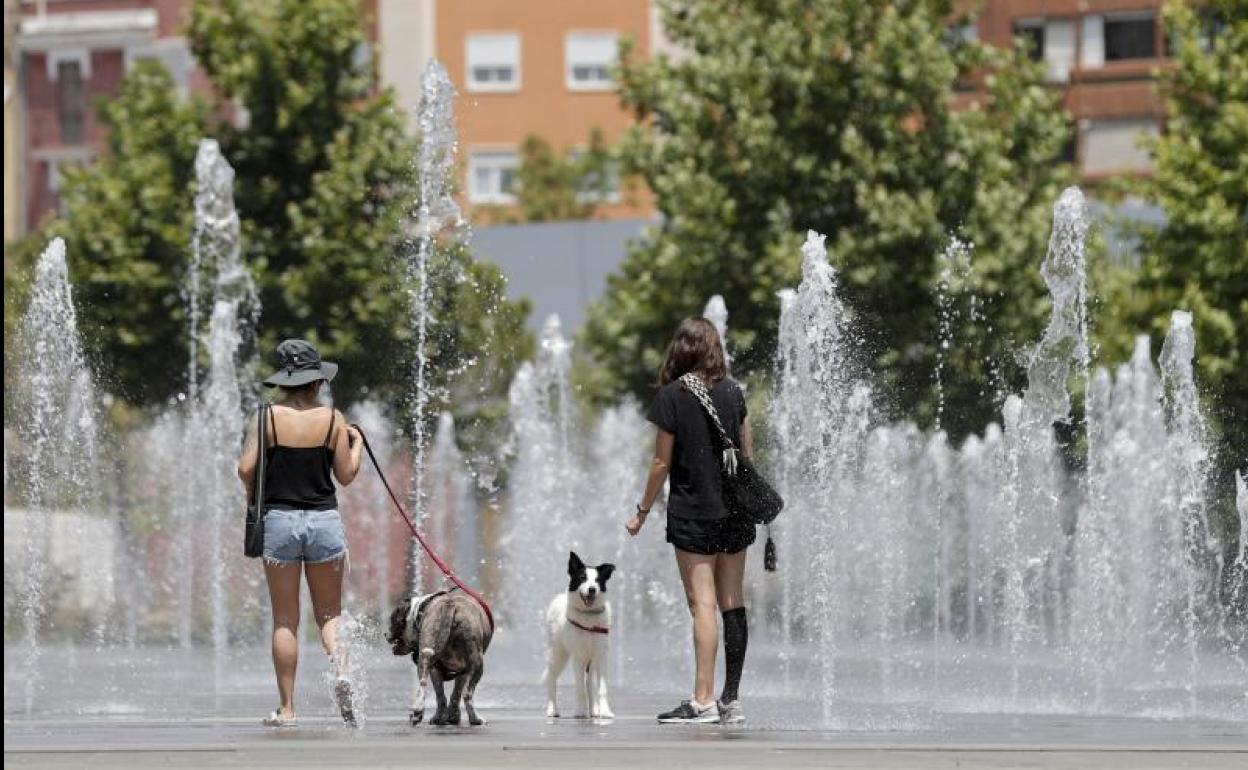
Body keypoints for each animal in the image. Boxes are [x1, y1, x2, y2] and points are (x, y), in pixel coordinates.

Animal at [384, 589, 491, 728]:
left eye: (392, 619)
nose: (385, 634)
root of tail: (449, 606)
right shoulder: (463, 672)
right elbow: (456, 693)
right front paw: (453, 717)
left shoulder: (438, 669)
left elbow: (442, 695)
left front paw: (444, 717)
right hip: (477, 665)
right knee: (467, 694)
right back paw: (476, 719)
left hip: (427, 655)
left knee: (424, 683)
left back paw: (418, 712)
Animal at [544, 549, 616, 718]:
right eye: (582, 578)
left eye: (597, 580)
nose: (592, 589)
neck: (589, 616)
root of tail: (560, 597)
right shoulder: (578, 656)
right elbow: (579, 688)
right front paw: (580, 711)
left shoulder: (601, 655)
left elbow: (601, 688)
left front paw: (604, 711)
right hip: (557, 652)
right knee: (550, 677)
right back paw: (552, 709)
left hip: (591, 661)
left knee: (589, 682)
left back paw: (594, 710)